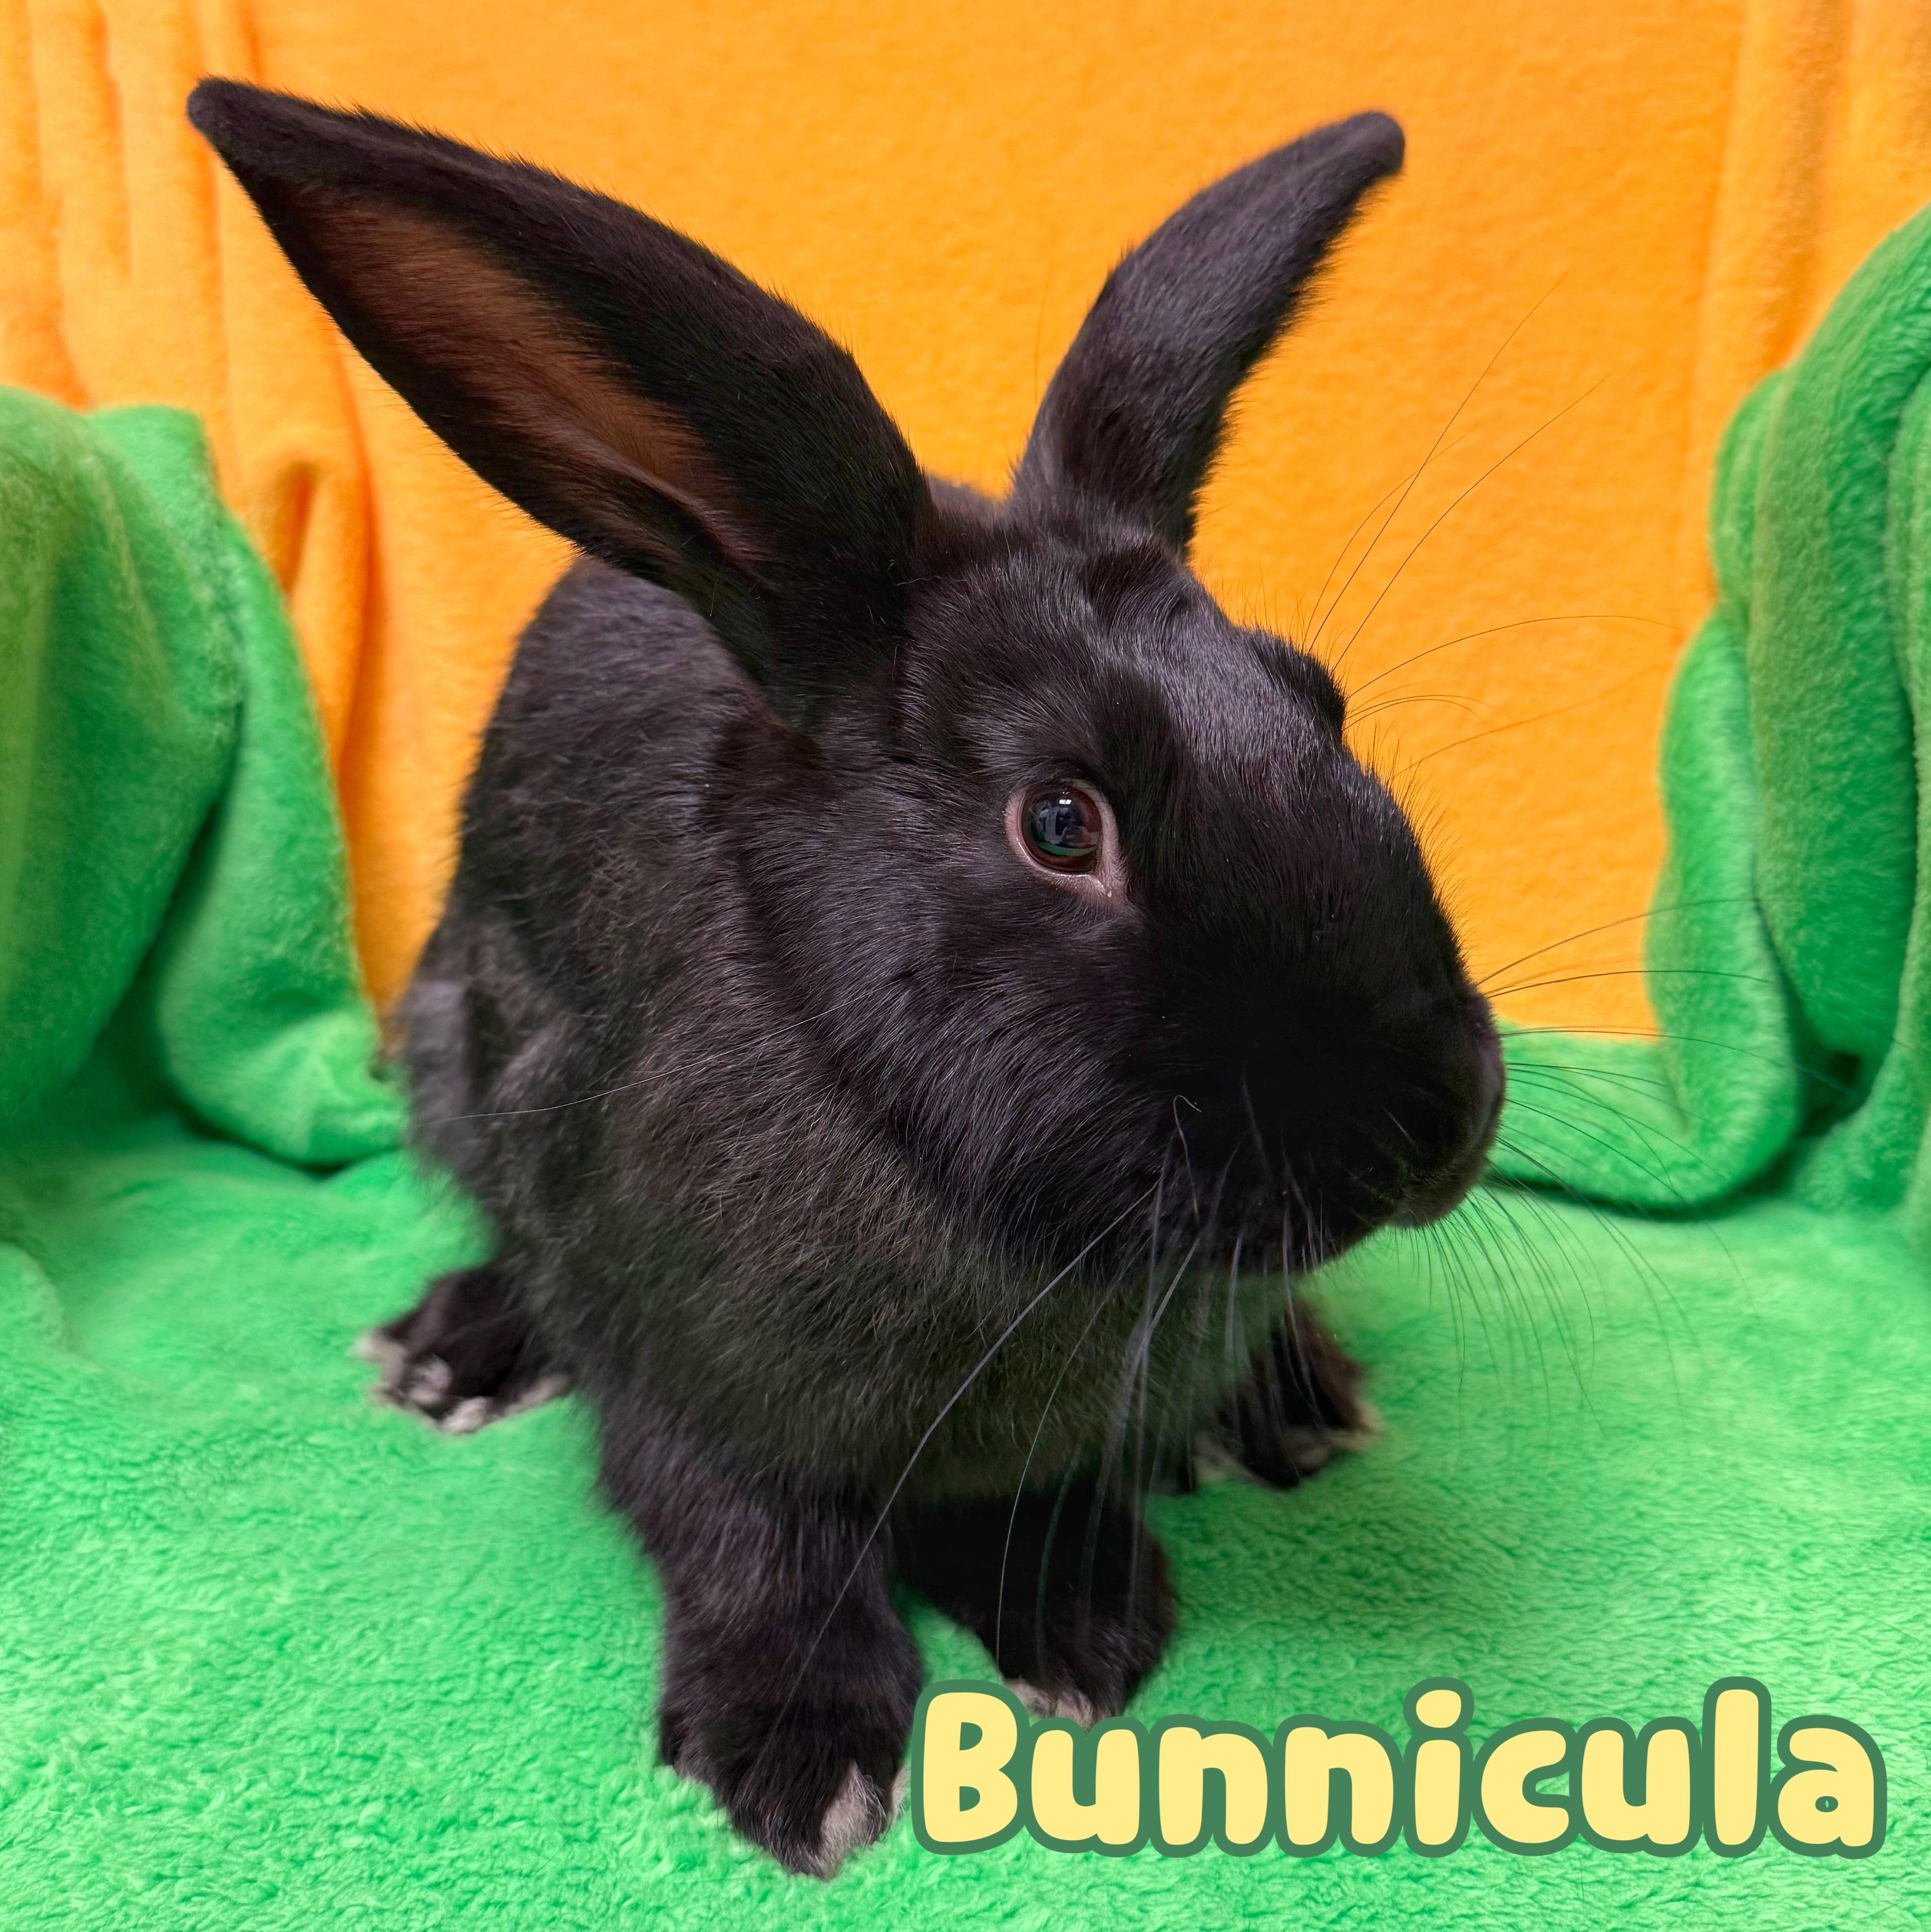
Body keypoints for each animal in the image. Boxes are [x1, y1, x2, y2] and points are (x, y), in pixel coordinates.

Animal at [187, 80, 1503, 1876]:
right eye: (1060, 822)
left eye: (1319, 701)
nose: (1442, 1120)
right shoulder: (683, 1373)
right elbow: (748, 1538)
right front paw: (797, 1757)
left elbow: (1036, 1510)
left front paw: (1082, 1622)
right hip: (460, 1052)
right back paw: (450, 1352)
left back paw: (1293, 1402)